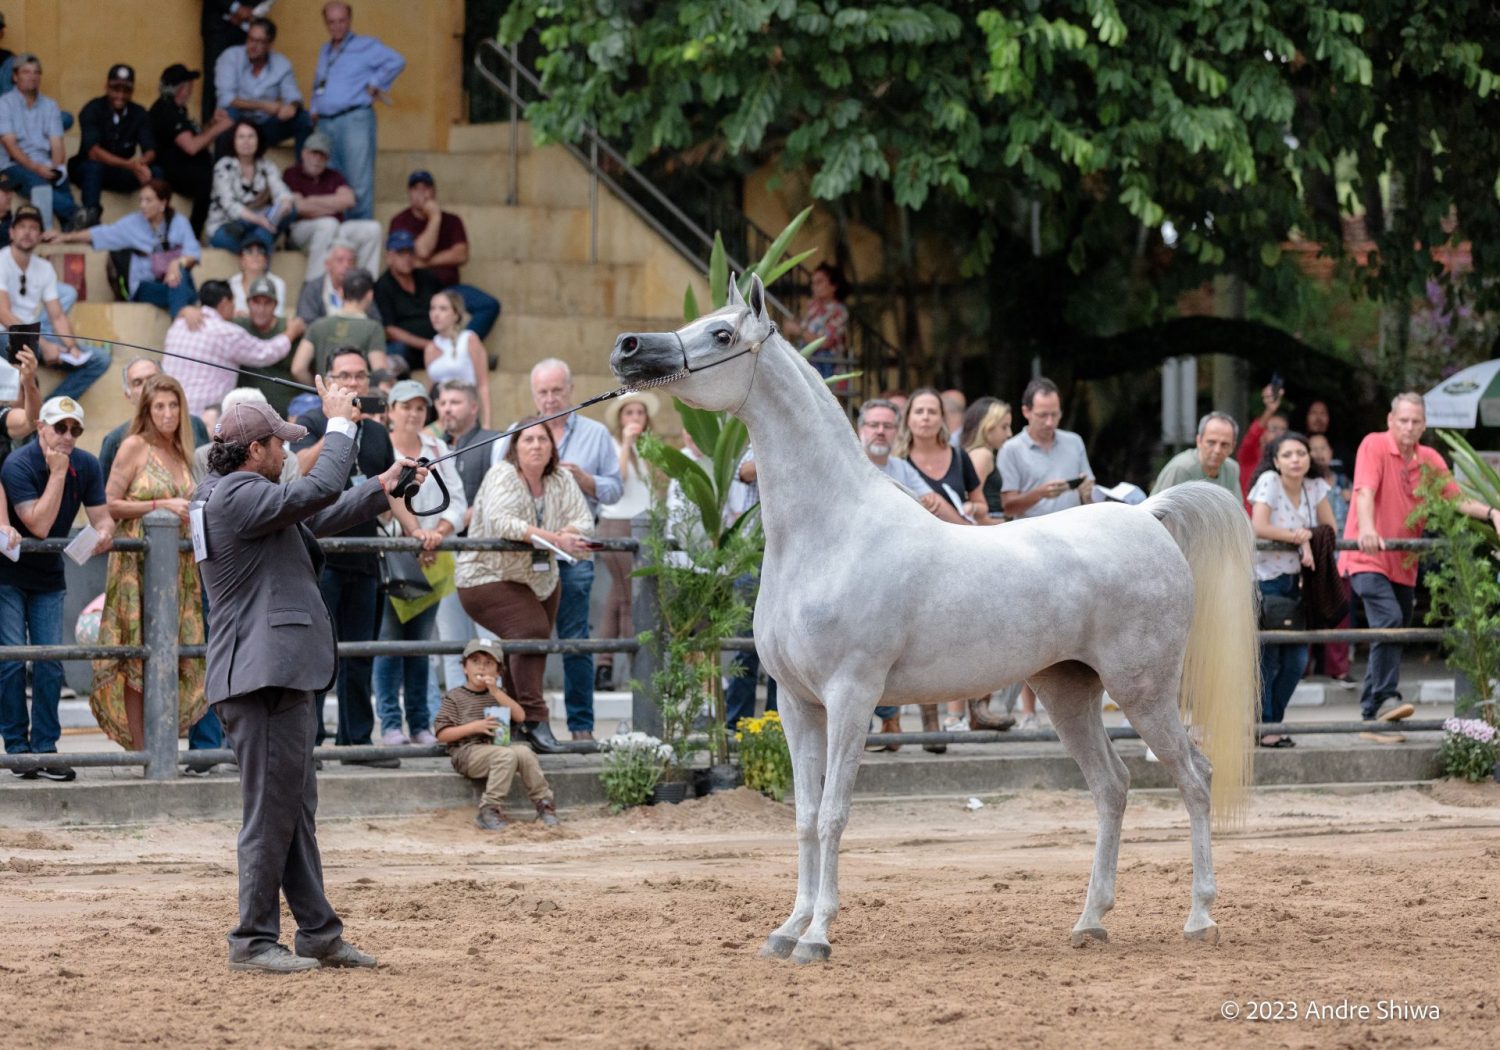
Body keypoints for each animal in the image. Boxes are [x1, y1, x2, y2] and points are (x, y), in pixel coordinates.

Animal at [609, 274, 1254, 966]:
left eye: (723, 333)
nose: (628, 348)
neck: (830, 534)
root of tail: (1148, 515)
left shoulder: (852, 696)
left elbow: (834, 813)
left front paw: (817, 935)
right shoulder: (795, 702)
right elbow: (804, 816)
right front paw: (787, 929)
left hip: (1144, 689)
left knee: (1195, 777)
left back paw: (1199, 917)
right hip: (1067, 691)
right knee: (1113, 786)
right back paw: (1090, 922)